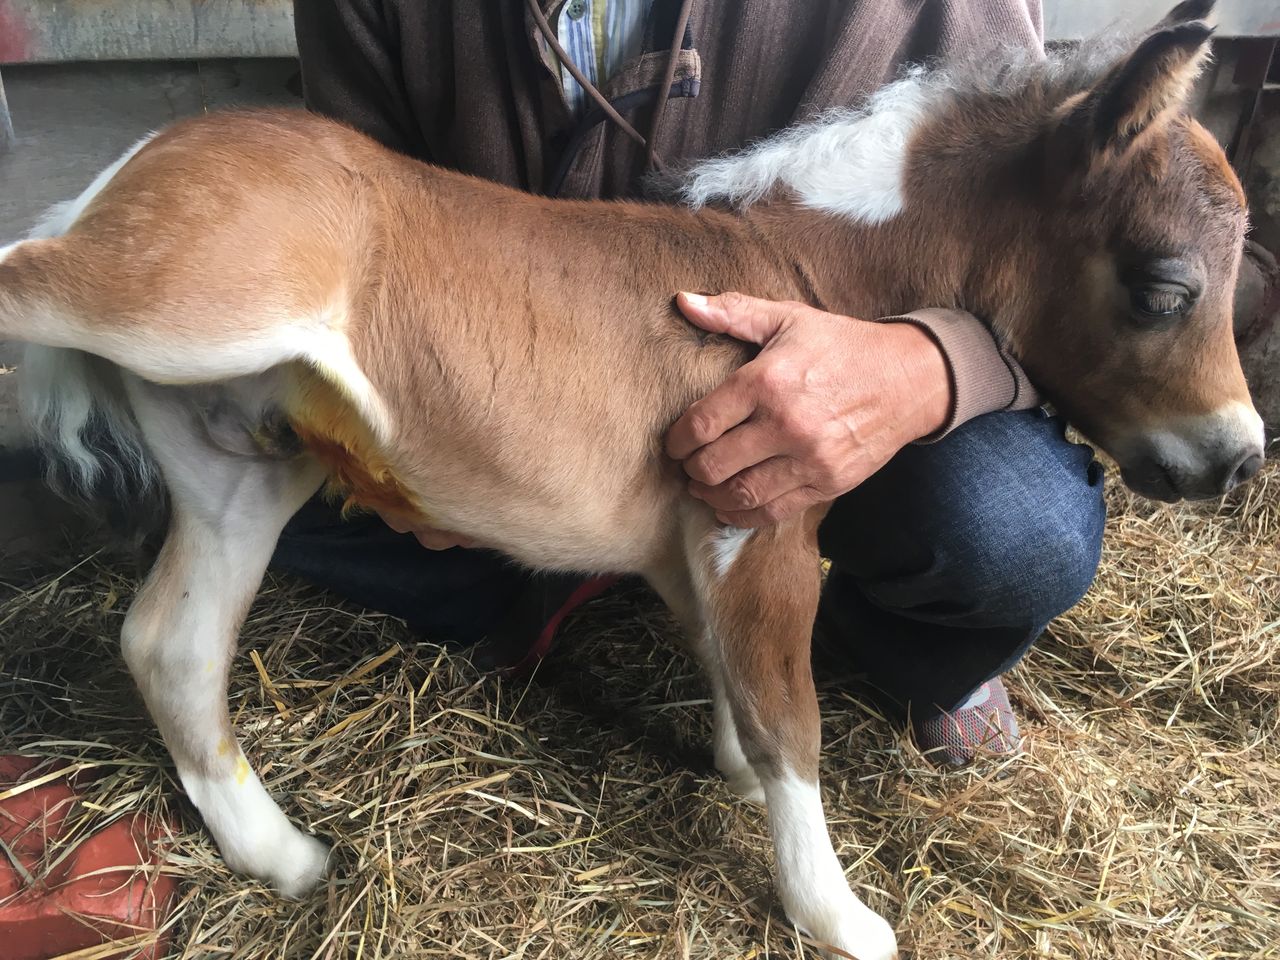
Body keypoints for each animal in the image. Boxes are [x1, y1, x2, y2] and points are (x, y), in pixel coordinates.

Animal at [0, 3, 1259, 957]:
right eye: (1161, 287)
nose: (1237, 455)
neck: (797, 269)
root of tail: (133, 169)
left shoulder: (699, 529)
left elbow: (730, 676)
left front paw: (735, 777)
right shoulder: (764, 523)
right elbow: (792, 715)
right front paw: (838, 917)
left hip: (242, 459)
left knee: (170, 644)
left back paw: (286, 857)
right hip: (185, 304)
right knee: (22, 276)